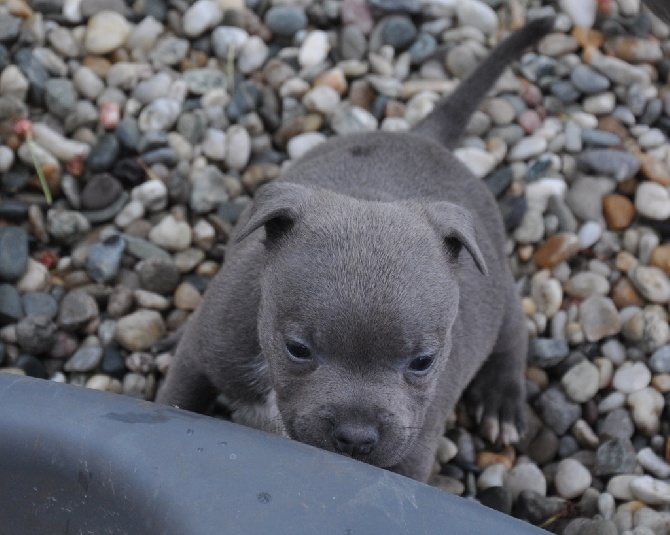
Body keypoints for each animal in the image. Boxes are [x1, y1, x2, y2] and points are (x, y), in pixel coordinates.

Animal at [158, 17, 556, 482]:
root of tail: (426, 138)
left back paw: (501, 402)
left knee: (513, 337)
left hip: (502, 298)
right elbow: (176, 401)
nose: (356, 436)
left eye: (423, 362)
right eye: (297, 349)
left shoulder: (411, 454)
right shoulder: (201, 356)